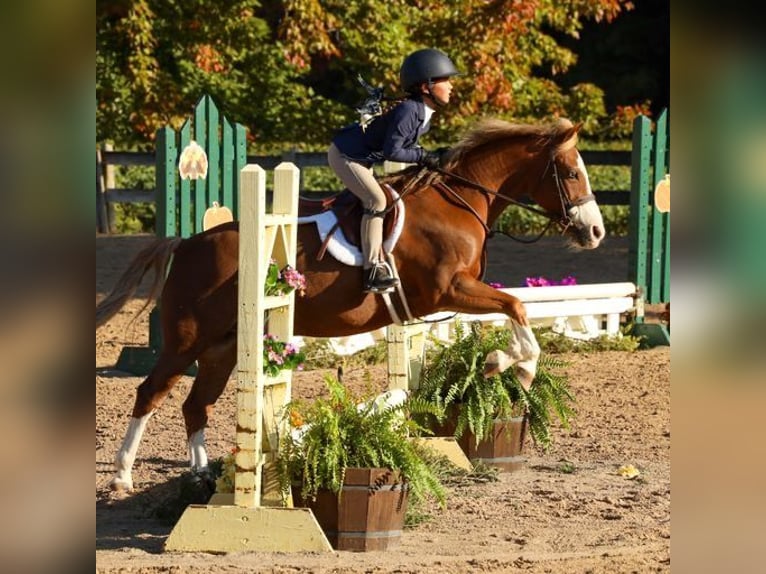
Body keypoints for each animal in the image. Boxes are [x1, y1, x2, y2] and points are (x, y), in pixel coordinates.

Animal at [97, 116, 608, 490]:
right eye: (571, 172)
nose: (596, 231)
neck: (459, 200)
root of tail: (186, 244)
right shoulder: (450, 289)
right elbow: (518, 307)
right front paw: (511, 367)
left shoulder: (453, 296)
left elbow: (514, 310)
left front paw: (502, 363)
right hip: (186, 341)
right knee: (150, 393)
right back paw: (122, 476)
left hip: (223, 347)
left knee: (194, 405)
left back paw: (202, 475)